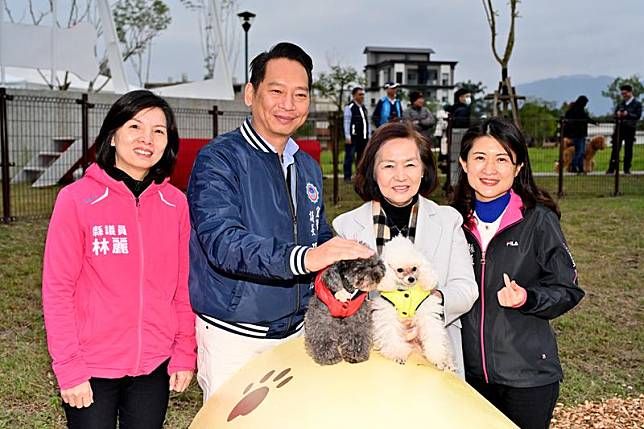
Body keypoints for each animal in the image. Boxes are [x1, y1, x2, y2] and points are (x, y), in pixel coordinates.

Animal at [370, 234, 456, 372]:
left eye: (414, 268)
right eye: (400, 270)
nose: (411, 279)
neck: (406, 292)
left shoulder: (426, 314)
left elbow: (434, 336)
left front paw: (438, 358)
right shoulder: (388, 316)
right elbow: (392, 336)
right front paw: (398, 355)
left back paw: (448, 362)